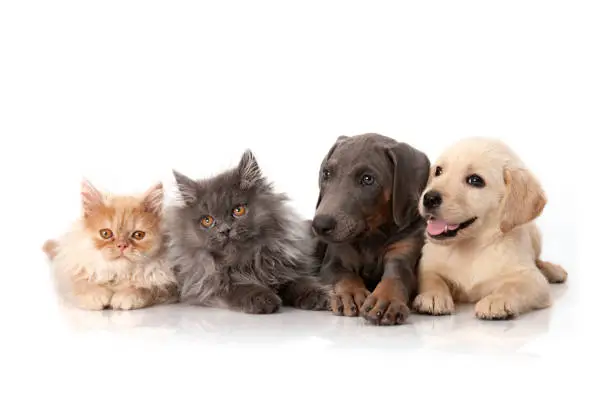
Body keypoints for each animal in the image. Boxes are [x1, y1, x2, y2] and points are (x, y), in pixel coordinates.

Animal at [42, 180, 177, 310]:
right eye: (106, 233)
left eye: (138, 235)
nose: (122, 245)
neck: (117, 273)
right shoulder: (72, 274)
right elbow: (82, 284)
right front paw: (96, 295)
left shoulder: (167, 285)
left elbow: (144, 288)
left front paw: (127, 295)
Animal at [166, 150, 330, 312]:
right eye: (207, 220)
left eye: (238, 210)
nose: (225, 230)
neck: (244, 261)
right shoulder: (208, 285)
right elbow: (241, 287)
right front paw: (265, 298)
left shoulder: (285, 270)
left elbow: (300, 281)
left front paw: (320, 295)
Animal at [314, 134, 428, 326]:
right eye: (326, 173)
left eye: (368, 179)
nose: (320, 225)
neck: (372, 235)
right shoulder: (333, 262)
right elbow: (344, 275)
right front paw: (350, 294)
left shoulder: (402, 253)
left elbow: (395, 277)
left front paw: (387, 300)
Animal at [414, 139, 568, 320]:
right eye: (438, 170)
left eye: (475, 180)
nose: (429, 198)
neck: (470, 247)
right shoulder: (427, 264)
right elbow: (431, 278)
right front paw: (432, 296)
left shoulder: (533, 279)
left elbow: (514, 285)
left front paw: (497, 300)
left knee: (537, 260)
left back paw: (554, 270)